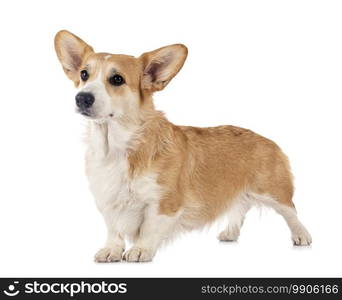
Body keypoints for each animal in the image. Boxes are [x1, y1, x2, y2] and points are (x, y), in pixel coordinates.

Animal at [54, 29, 312, 262]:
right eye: (84, 74)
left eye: (117, 79)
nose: (82, 98)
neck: (116, 146)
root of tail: (266, 138)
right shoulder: (108, 200)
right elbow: (113, 230)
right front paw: (112, 250)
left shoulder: (164, 203)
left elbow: (149, 228)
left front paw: (140, 249)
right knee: (238, 208)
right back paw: (230, 232)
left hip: (273, 191)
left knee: (291, 211)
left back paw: (302, 235)